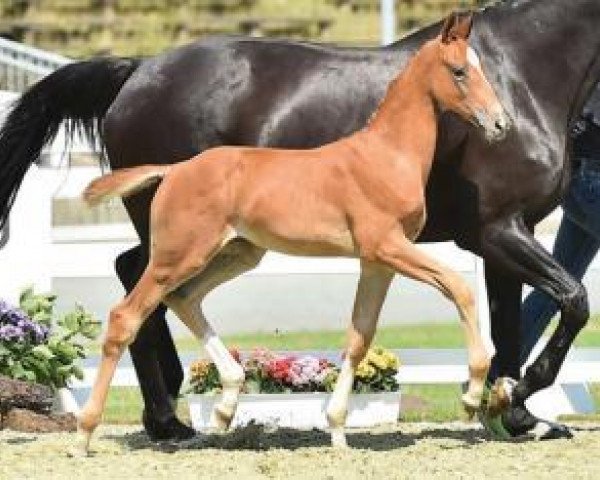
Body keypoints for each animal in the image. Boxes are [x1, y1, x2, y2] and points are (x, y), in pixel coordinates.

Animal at [78, 12, 510, 454]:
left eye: (480, 67)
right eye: (459, 71)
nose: (500, 124)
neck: (386, 155)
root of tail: (175, 170)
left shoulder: (377, 262)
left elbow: (359, 338)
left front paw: (337, 429)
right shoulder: (388, 246)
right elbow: (459, 287)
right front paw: (472, 395)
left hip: (237, 253)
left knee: (184, 299)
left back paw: (226, 404)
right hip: (178, 254)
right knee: (126, 316)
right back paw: (86, 433)